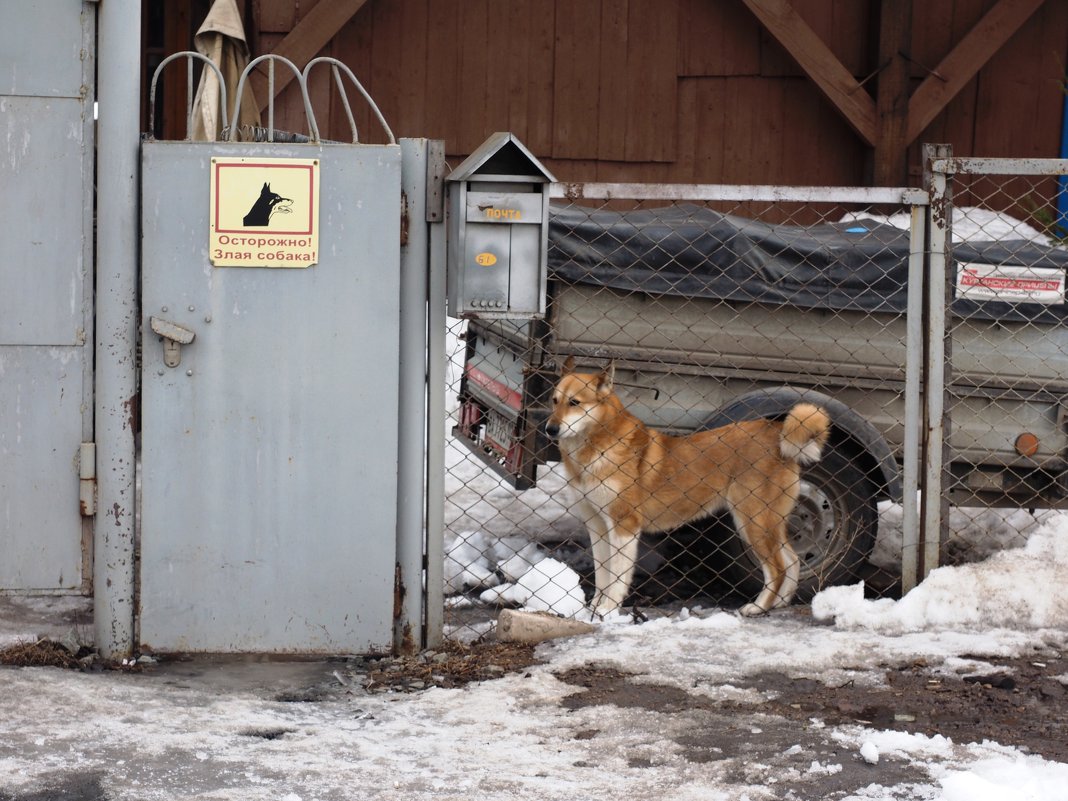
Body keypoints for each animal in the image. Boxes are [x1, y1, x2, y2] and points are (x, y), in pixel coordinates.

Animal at [546, 358, 828, 619]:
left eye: (574, 402)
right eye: (554, 400)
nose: (550, 429)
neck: (595, 448)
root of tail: (777, 431)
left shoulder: (624, 526)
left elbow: (616, 578)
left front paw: (607, 610)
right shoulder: (598, 526)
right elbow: (602, 574)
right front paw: (594, 608)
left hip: (753, 522)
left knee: (778, 568)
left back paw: (759, 607)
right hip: (768, 522)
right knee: (792, 560)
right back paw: (781, 603)